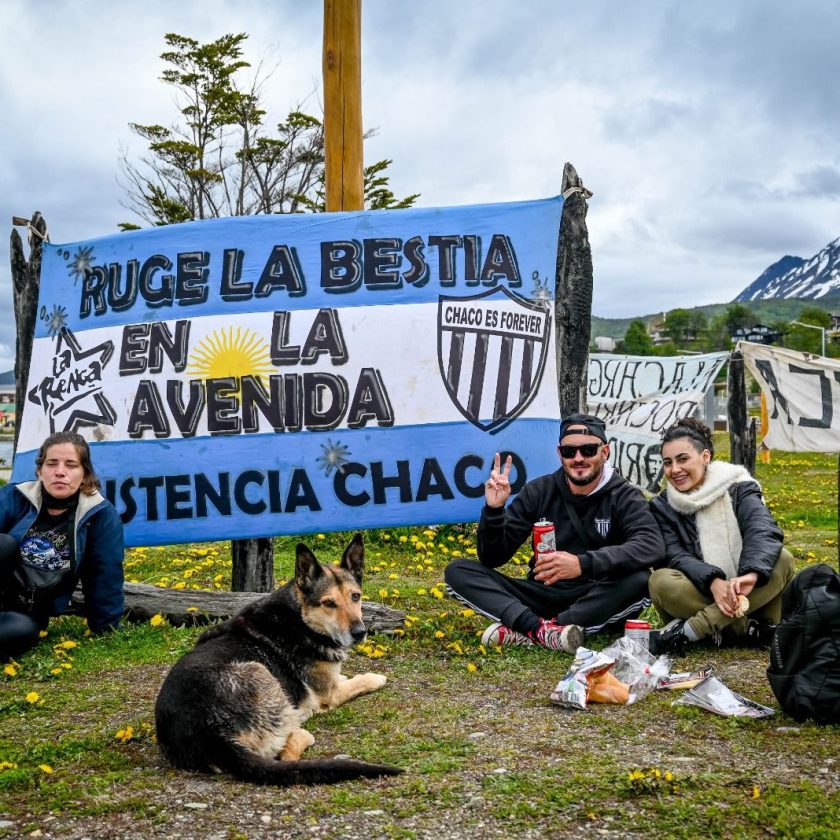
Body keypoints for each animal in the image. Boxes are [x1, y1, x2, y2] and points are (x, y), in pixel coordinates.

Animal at [155, 536, 404, 784]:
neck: (301, 618)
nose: (360, 632)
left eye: (355, 596)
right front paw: (374, 678)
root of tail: (212, 734)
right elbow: (359, 681)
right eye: (329, 603)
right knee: (288, 751)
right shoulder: (330, 694)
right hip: (258, 671)